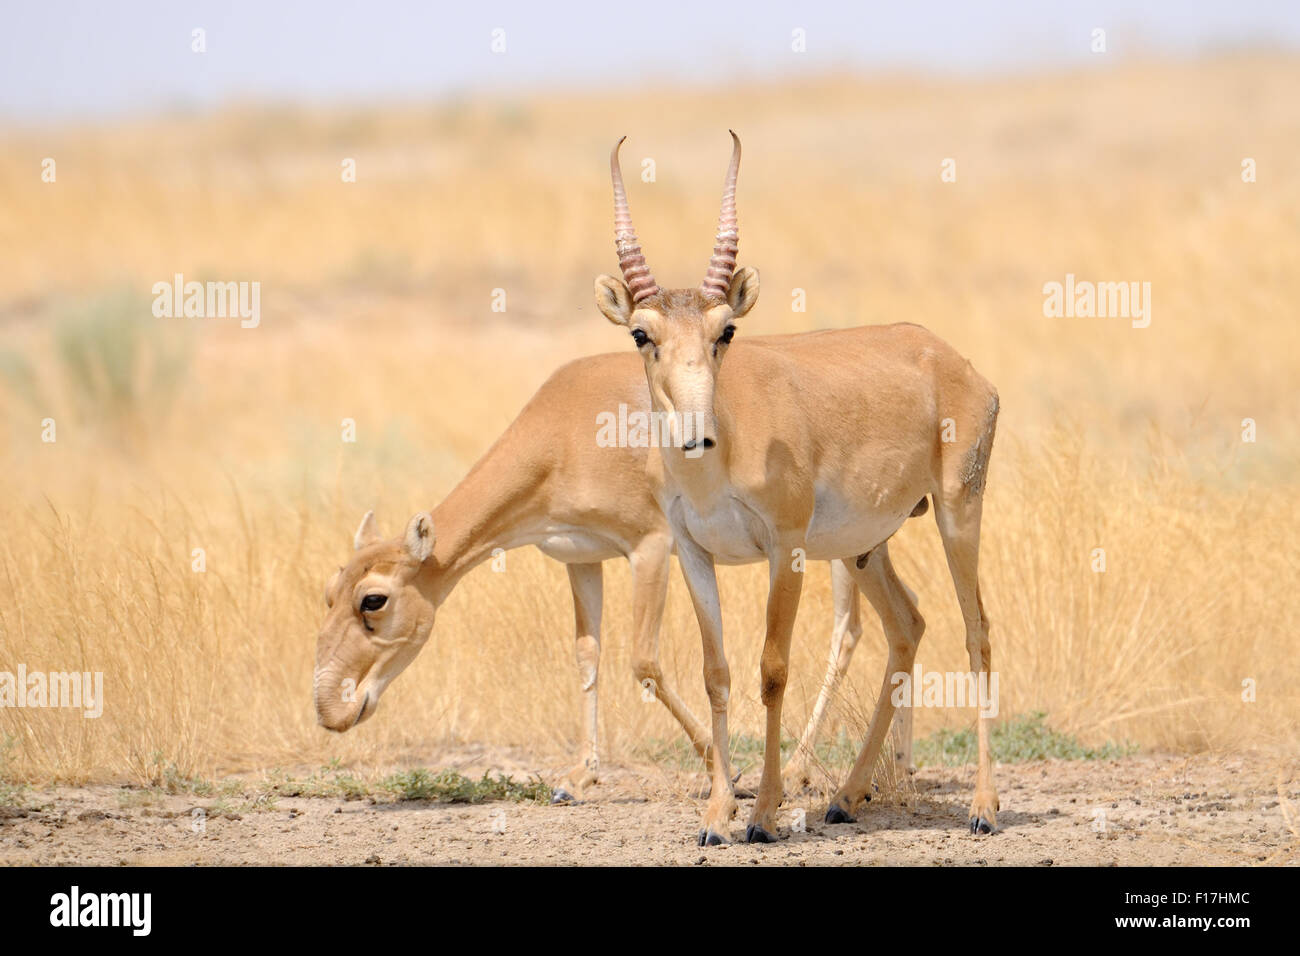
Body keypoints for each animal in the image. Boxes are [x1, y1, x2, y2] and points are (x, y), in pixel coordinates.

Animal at [314, 351, 920, 801]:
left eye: (374, 600)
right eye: (329, 592)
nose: (331, 712)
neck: (564, 426)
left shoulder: (649, 548)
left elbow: (644, 662)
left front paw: (722, 768)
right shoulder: (581, 559)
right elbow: (588, 654)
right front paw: (579, 775)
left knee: (849, 630)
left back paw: (802, 771)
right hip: (864, 543)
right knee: (905, 617)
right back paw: (898, 766)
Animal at [595, 130, 998, 842]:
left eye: (725, 330)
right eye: (643, 333)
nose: (694, 433)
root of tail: (952, 360)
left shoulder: (788, 551)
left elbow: (773, 670)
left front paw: (761, 815)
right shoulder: (693, 554)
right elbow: (717, 673)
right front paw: (715, 815)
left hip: (958, 514)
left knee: (977, 631)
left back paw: (982, 807)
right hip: (866, 547)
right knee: (908, 625)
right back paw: (845, 797)